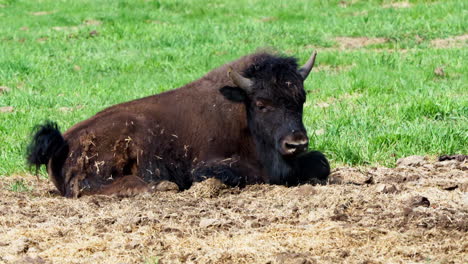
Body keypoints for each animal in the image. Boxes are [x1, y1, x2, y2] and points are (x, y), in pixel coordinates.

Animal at [27, 50, 330, 197]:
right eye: (261, 104)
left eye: (301, 98)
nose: (296, 143)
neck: (241, 108)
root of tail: (63, 141)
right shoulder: (208, 166)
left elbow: (322, 163)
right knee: (90, 187)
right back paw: (160, 187)